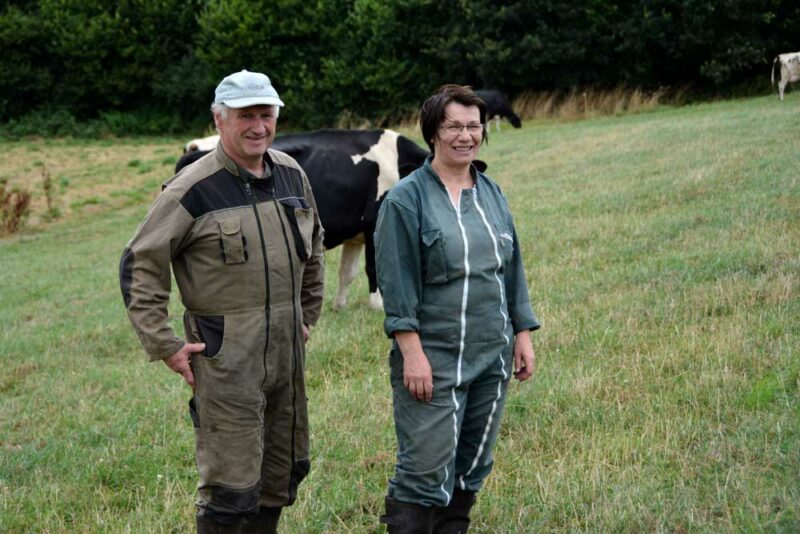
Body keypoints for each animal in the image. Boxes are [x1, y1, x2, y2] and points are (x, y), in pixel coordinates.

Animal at [177, 130, 432, 312]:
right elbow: (374, 267)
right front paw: (379, 306)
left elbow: (347, 272)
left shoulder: (355, 235)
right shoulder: (374, 222)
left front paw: (339, 307)